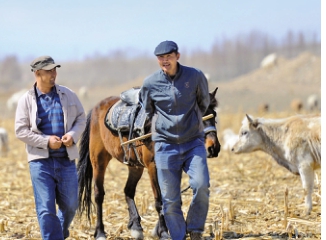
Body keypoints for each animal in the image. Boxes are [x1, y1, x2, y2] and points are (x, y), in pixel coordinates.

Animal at [77, 87, 219, 240]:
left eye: (214, 113)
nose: (213, 148)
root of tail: (96, 108)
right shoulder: (153, 167)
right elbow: (159, 201)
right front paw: (163, 232)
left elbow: (174, 199)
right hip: (98, 161)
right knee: (99, 194)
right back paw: (100, 232)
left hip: (135, 166)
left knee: (128, 190)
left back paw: (136, 227)